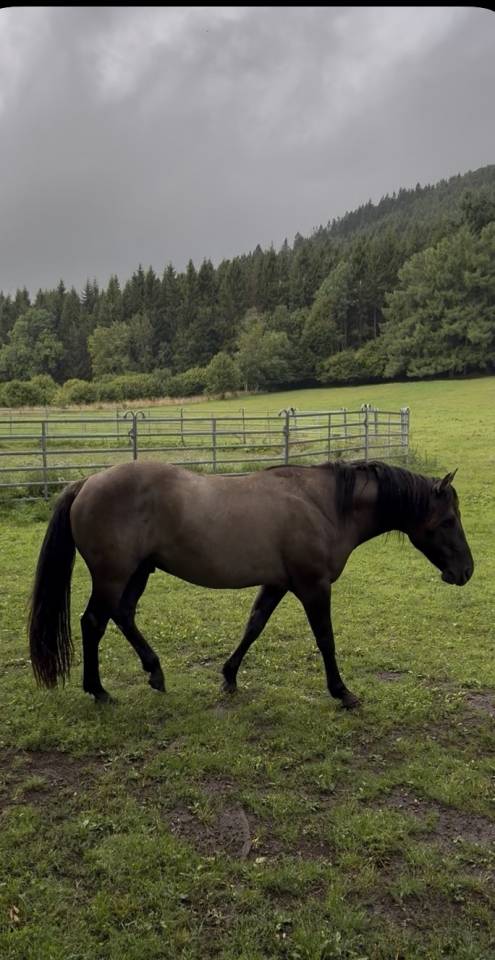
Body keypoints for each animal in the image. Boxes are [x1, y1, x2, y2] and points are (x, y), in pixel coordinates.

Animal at [28, 459, 474, 710]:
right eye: (448, 521)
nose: (466, 571)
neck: (324, 506)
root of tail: (86, 483)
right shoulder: (313, 586)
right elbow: (325, 639)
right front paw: (342, 692)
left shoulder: (277, 584)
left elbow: (253, 626)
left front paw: (228, 677)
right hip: (113, 575)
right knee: (93, 623)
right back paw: (99, 691)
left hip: (138, 572)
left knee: (122, 615)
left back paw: (155, 673)